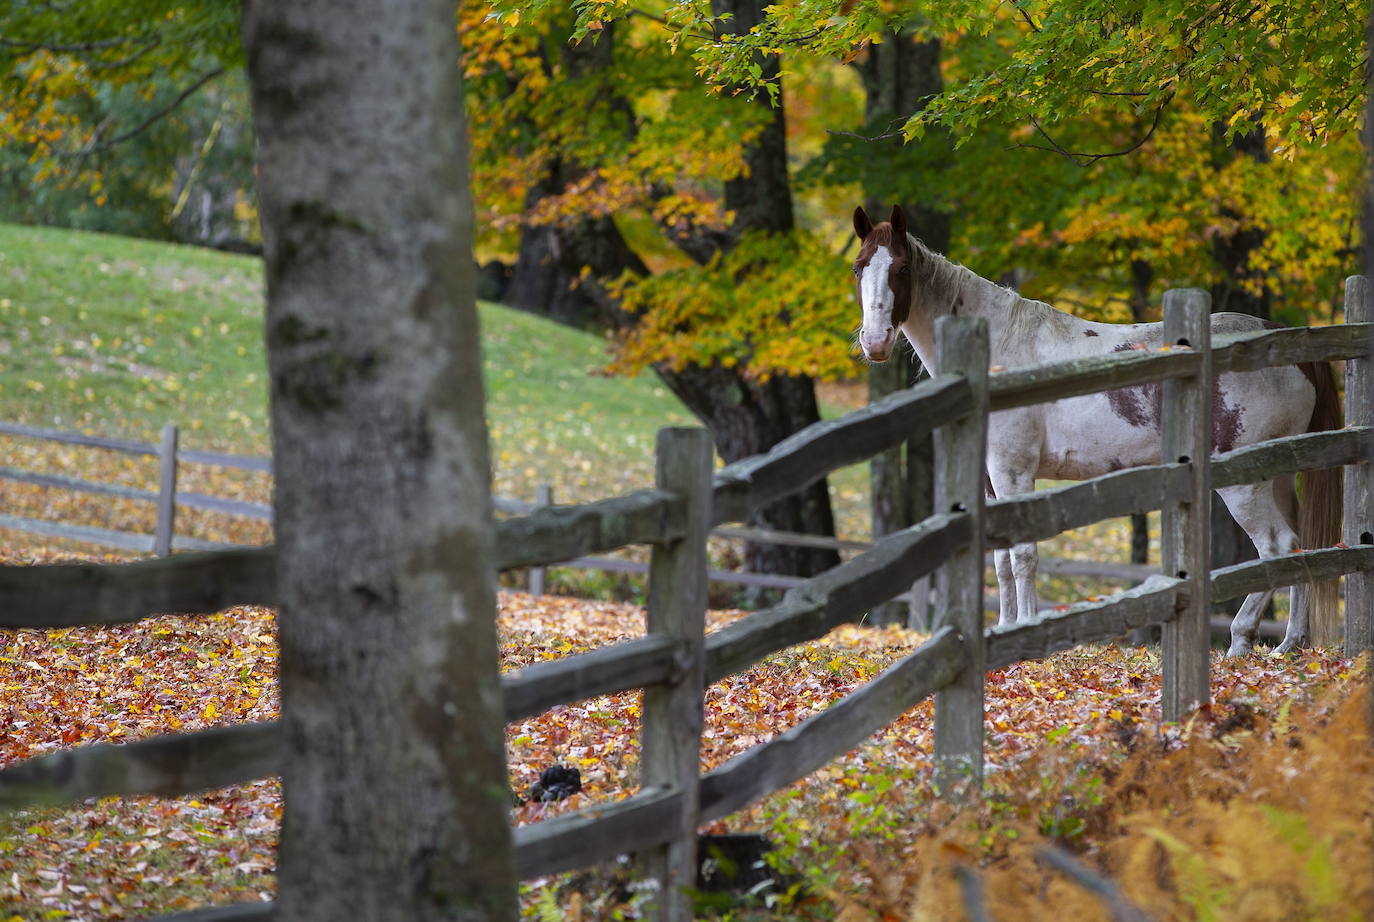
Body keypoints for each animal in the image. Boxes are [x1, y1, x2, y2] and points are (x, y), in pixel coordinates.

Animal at [846, 206, 1341, 659]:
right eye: (859, 267)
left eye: (901, 268)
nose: (875, 342)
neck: (999, 355)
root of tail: (1282, 341)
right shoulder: (989, 479)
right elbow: (1001, 560)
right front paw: (1003, 630)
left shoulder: (1013, 473)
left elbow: (1023, 557)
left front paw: (1026, 636)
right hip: (1277, 476)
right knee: (1301, 546)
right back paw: (1291, 643)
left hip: (1244, 485)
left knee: (1277, 545)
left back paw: (1240, 641)